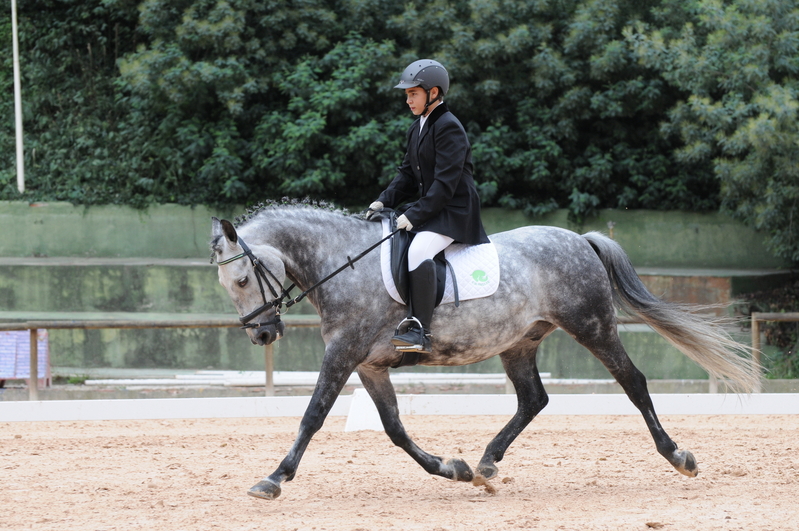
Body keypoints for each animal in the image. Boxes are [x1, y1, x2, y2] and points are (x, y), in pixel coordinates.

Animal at [210, 200, 760, 500]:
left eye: (242, 280)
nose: (261, 336)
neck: (344, 264)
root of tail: (579, 239)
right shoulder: (370, 366)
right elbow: (394, 429)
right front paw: (452, 469)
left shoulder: (344, 355)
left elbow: (313, 416)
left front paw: (273, 479)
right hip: (520, 342)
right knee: (533, 399)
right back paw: (487, 463)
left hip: (592, 325)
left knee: (633, 382)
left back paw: (679, 456)